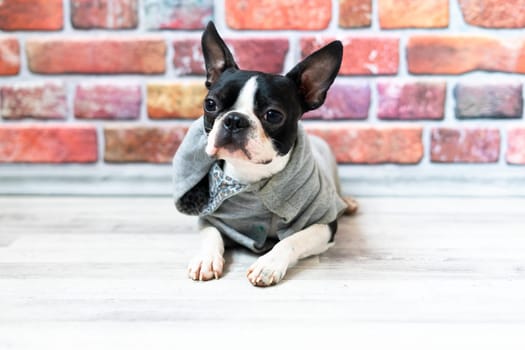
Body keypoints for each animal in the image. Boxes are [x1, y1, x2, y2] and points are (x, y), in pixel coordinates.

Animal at [173, 21, 356, 286]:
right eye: (210, 104)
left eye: (273, 115)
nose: (234, 120)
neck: (251, 176)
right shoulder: (210, 218)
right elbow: (211, 233)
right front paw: (205, 259)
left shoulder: (325, 225)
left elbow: (292, 240)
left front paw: (268, 264)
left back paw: (348, 202)